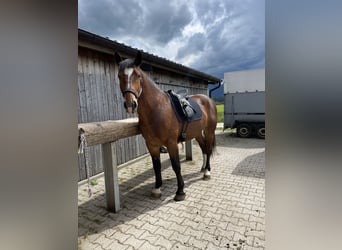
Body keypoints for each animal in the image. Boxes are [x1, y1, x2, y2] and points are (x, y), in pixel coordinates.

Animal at [114, 51, 216, 201]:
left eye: (138, 76)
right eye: (119, 76)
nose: (130, 104)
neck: (157, 109)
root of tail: (208, 99)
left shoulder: (171, 143)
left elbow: (176, 166)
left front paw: (180, 191)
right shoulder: (152, 144)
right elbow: (156, 166)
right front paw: (157, 189)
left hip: (209, 131)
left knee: (208, 149)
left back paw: (207, 173)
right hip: (197, 133)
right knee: (204, 148)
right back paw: (203, 168)